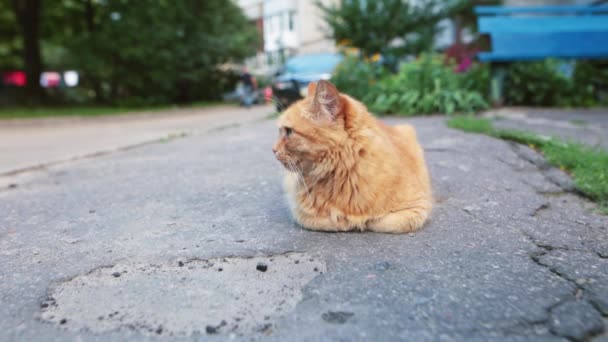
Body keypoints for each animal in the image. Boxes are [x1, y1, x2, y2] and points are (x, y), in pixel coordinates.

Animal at [270, 81, 432, 234]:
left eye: (289, 131)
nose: (273, 150)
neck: (344, 173)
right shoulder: (302, 213)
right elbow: (334, 221)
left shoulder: (417, 208)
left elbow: (377, 221)